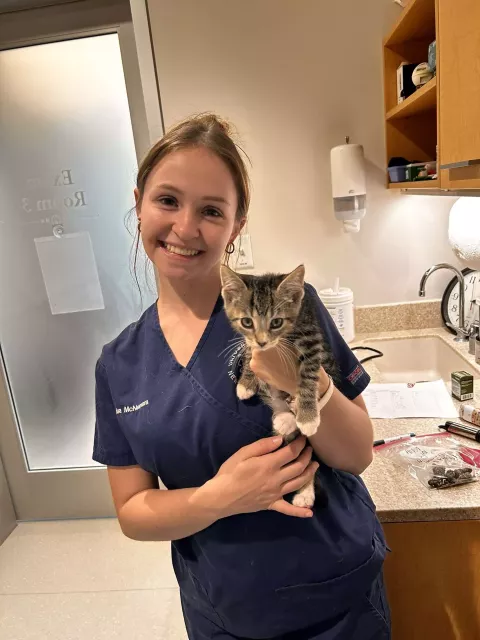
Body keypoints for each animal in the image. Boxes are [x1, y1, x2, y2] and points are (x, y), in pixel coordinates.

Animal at [219, 262, 336, 508]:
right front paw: (246, 382)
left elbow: (308, 377)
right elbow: (249, 350)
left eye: (277, 322)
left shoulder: (312, 340)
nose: (263, 341)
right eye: (247, 322)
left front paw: (308, 417)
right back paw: (284, 420)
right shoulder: (251, 343)